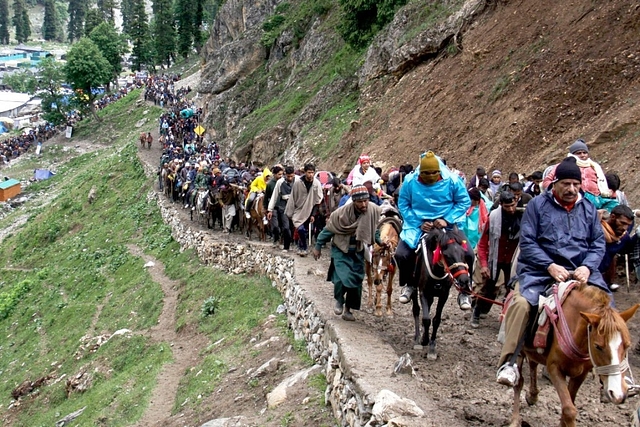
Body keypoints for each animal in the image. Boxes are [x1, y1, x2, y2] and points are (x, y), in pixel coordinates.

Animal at [410, 229, 470, 360]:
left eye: (463, 253)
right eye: (447, 255)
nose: (464, 280)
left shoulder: (444, 295)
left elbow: (436, 320)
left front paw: (432, 347)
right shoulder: (423, 292)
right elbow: (426, 318)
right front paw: (424, 340)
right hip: (414, 287)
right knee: (416, 309)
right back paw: (417, 339)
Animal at [510, 280, 640, 427]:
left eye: (627, 345)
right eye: (598, 346)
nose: (618, 394)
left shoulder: (581, 374)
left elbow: (569, 404)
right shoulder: (554, 368)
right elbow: (569, 409)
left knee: (533, 364)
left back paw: (532, 396)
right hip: (520, 349)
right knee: (518, 382)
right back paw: (514, 419)